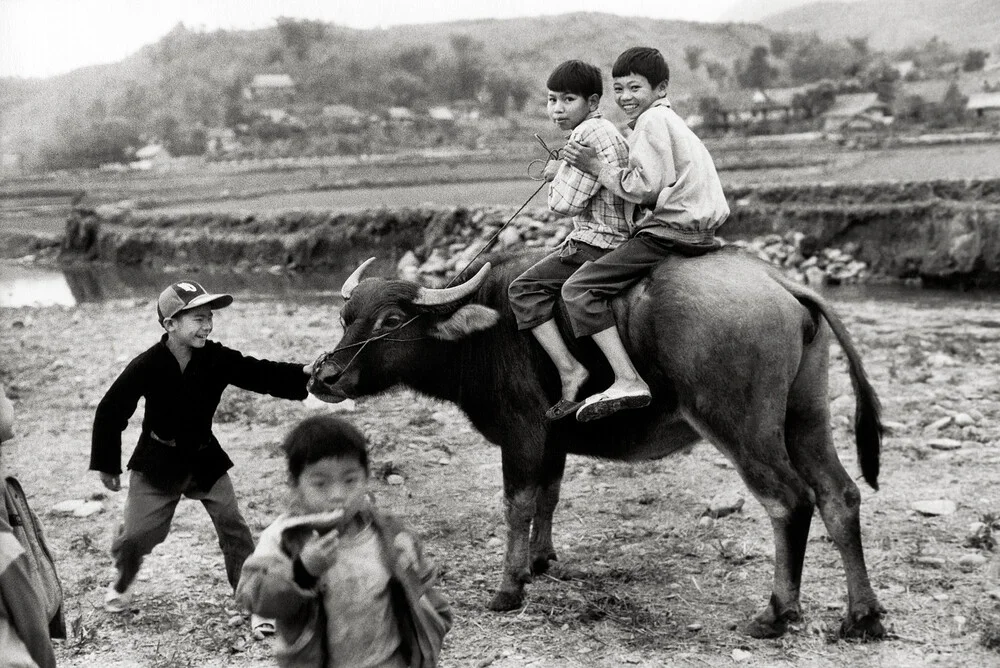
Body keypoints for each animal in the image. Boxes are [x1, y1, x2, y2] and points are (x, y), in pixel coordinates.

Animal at [310, 248, 884, 640]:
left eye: (390, 320)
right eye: (346, 318)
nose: (326, 377)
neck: (487, 335)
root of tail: (777, 282)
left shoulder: (522, 434)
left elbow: (518, 503)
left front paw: (508, 587)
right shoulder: (554, 439)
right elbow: (549, 495)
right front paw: (540, 560)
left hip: (742, 427)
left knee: (789, 501)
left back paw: (777, 612)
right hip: (806, 418)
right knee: (840, 495)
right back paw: (862, 616)